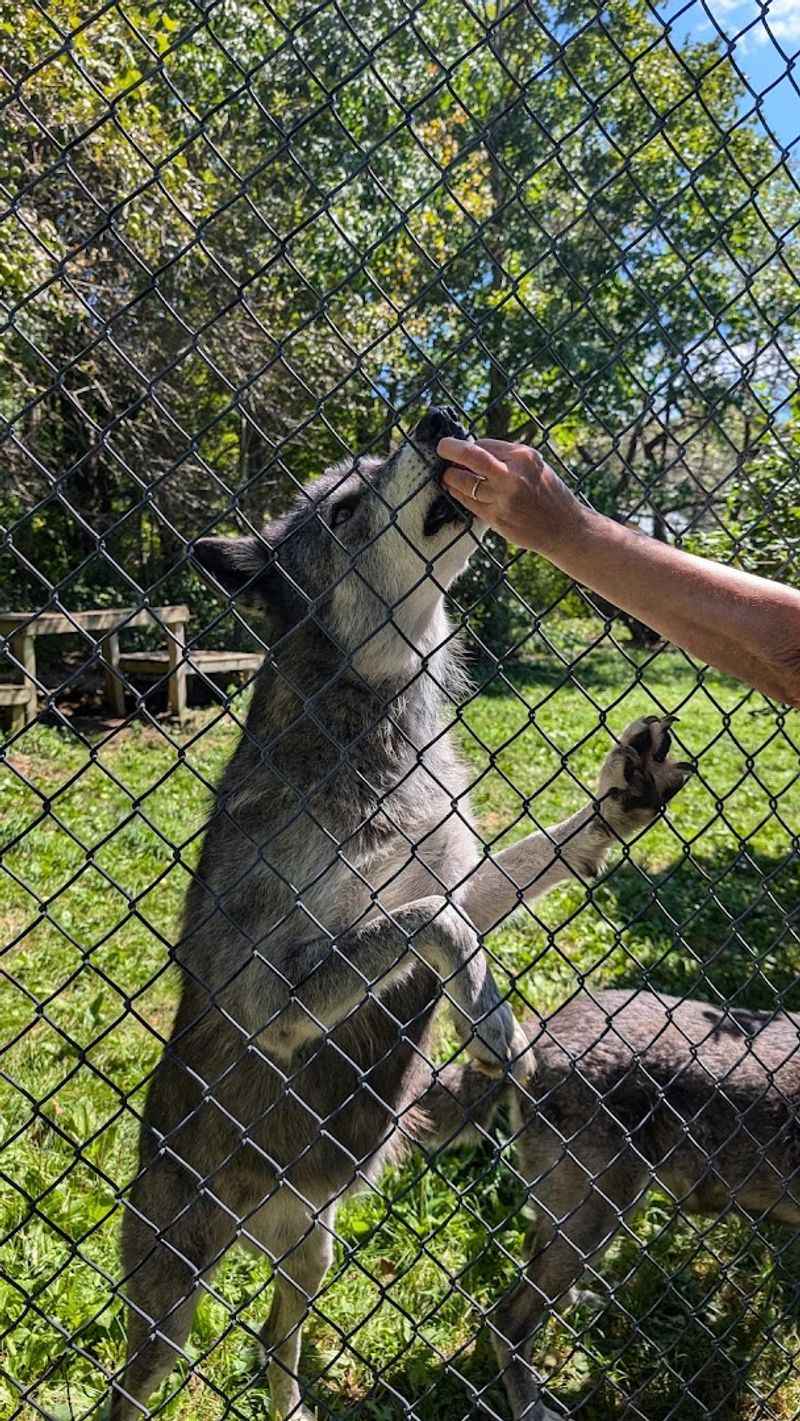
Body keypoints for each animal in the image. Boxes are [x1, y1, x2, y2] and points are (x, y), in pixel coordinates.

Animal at [110, 407, 690, 1421]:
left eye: (375, 461)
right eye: (344, 507)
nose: (439, 420)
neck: (379, 737)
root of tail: (265, 1215)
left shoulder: (455, 871)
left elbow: (492, 884)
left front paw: (620, 803)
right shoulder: (271, 1000)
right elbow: (432, 925)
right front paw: (491, 1024)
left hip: (312, 1248)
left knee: (274, 1336)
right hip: (170, 1305)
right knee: (134, 1386)